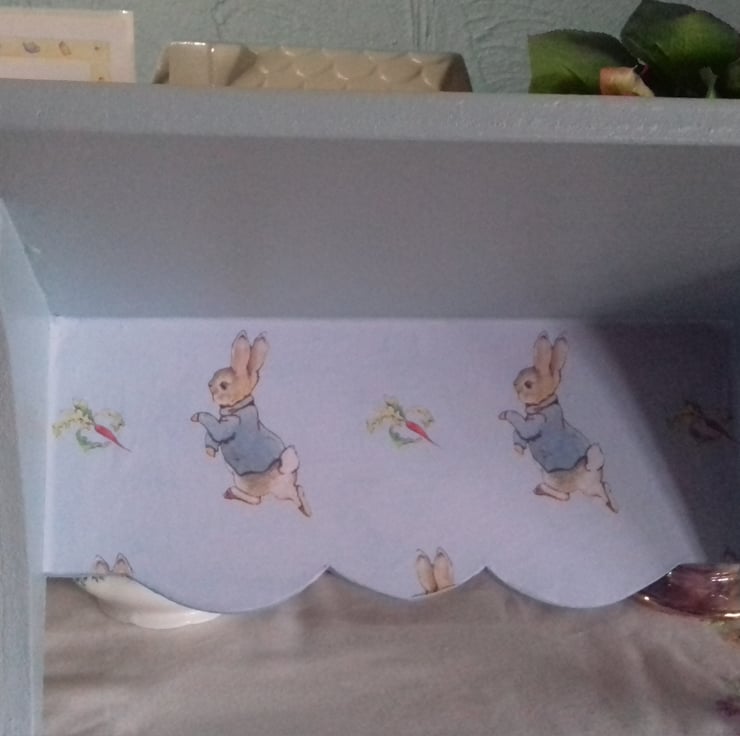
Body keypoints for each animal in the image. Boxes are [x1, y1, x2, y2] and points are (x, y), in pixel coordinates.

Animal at [191, 331, 311, 517]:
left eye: (223, 385)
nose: (209, 385)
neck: (239, 405)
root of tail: (283, 472)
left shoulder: (227, 427)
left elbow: (211, 424)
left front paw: (196, 416)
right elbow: (210, 437)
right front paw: (210, 452)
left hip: (245, 481)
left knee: (257, 500)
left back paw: (231, 492)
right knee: (297, 492)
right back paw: (306, 509)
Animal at [498, 333, 617, 513]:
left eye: (528, 384)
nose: (514, 385)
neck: (545, 404)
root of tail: (589, 471)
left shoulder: (533, 425)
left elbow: (518, 423)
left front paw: (504, 414)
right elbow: (517, 435)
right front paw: (518, 449)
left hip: (552, 477)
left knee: (565, 496)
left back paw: (540, 489)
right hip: (594, 488)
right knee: (605, 491)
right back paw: (613, 504)